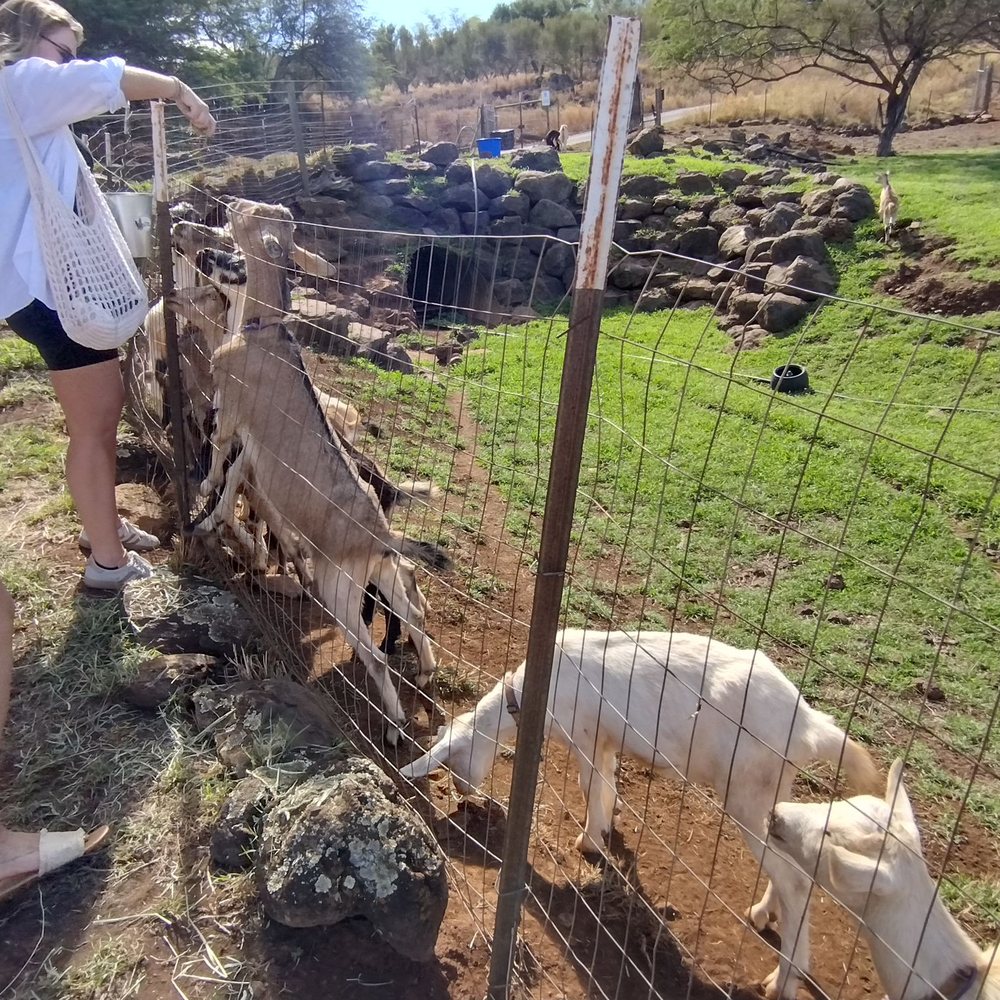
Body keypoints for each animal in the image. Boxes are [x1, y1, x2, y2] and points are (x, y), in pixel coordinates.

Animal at [401, 628, 880, 1000]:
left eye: (453, 762)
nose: (465, 797)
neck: (532, 693)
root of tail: (811, 726)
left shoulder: (586, 734)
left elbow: (591, 784)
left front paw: (590, 840)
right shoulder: (605, 740)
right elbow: (605, 784)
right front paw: (607, 831)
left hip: (748, 789)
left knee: (797, 879)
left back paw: (782, 979)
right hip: (771, 793)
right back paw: (764, 914)